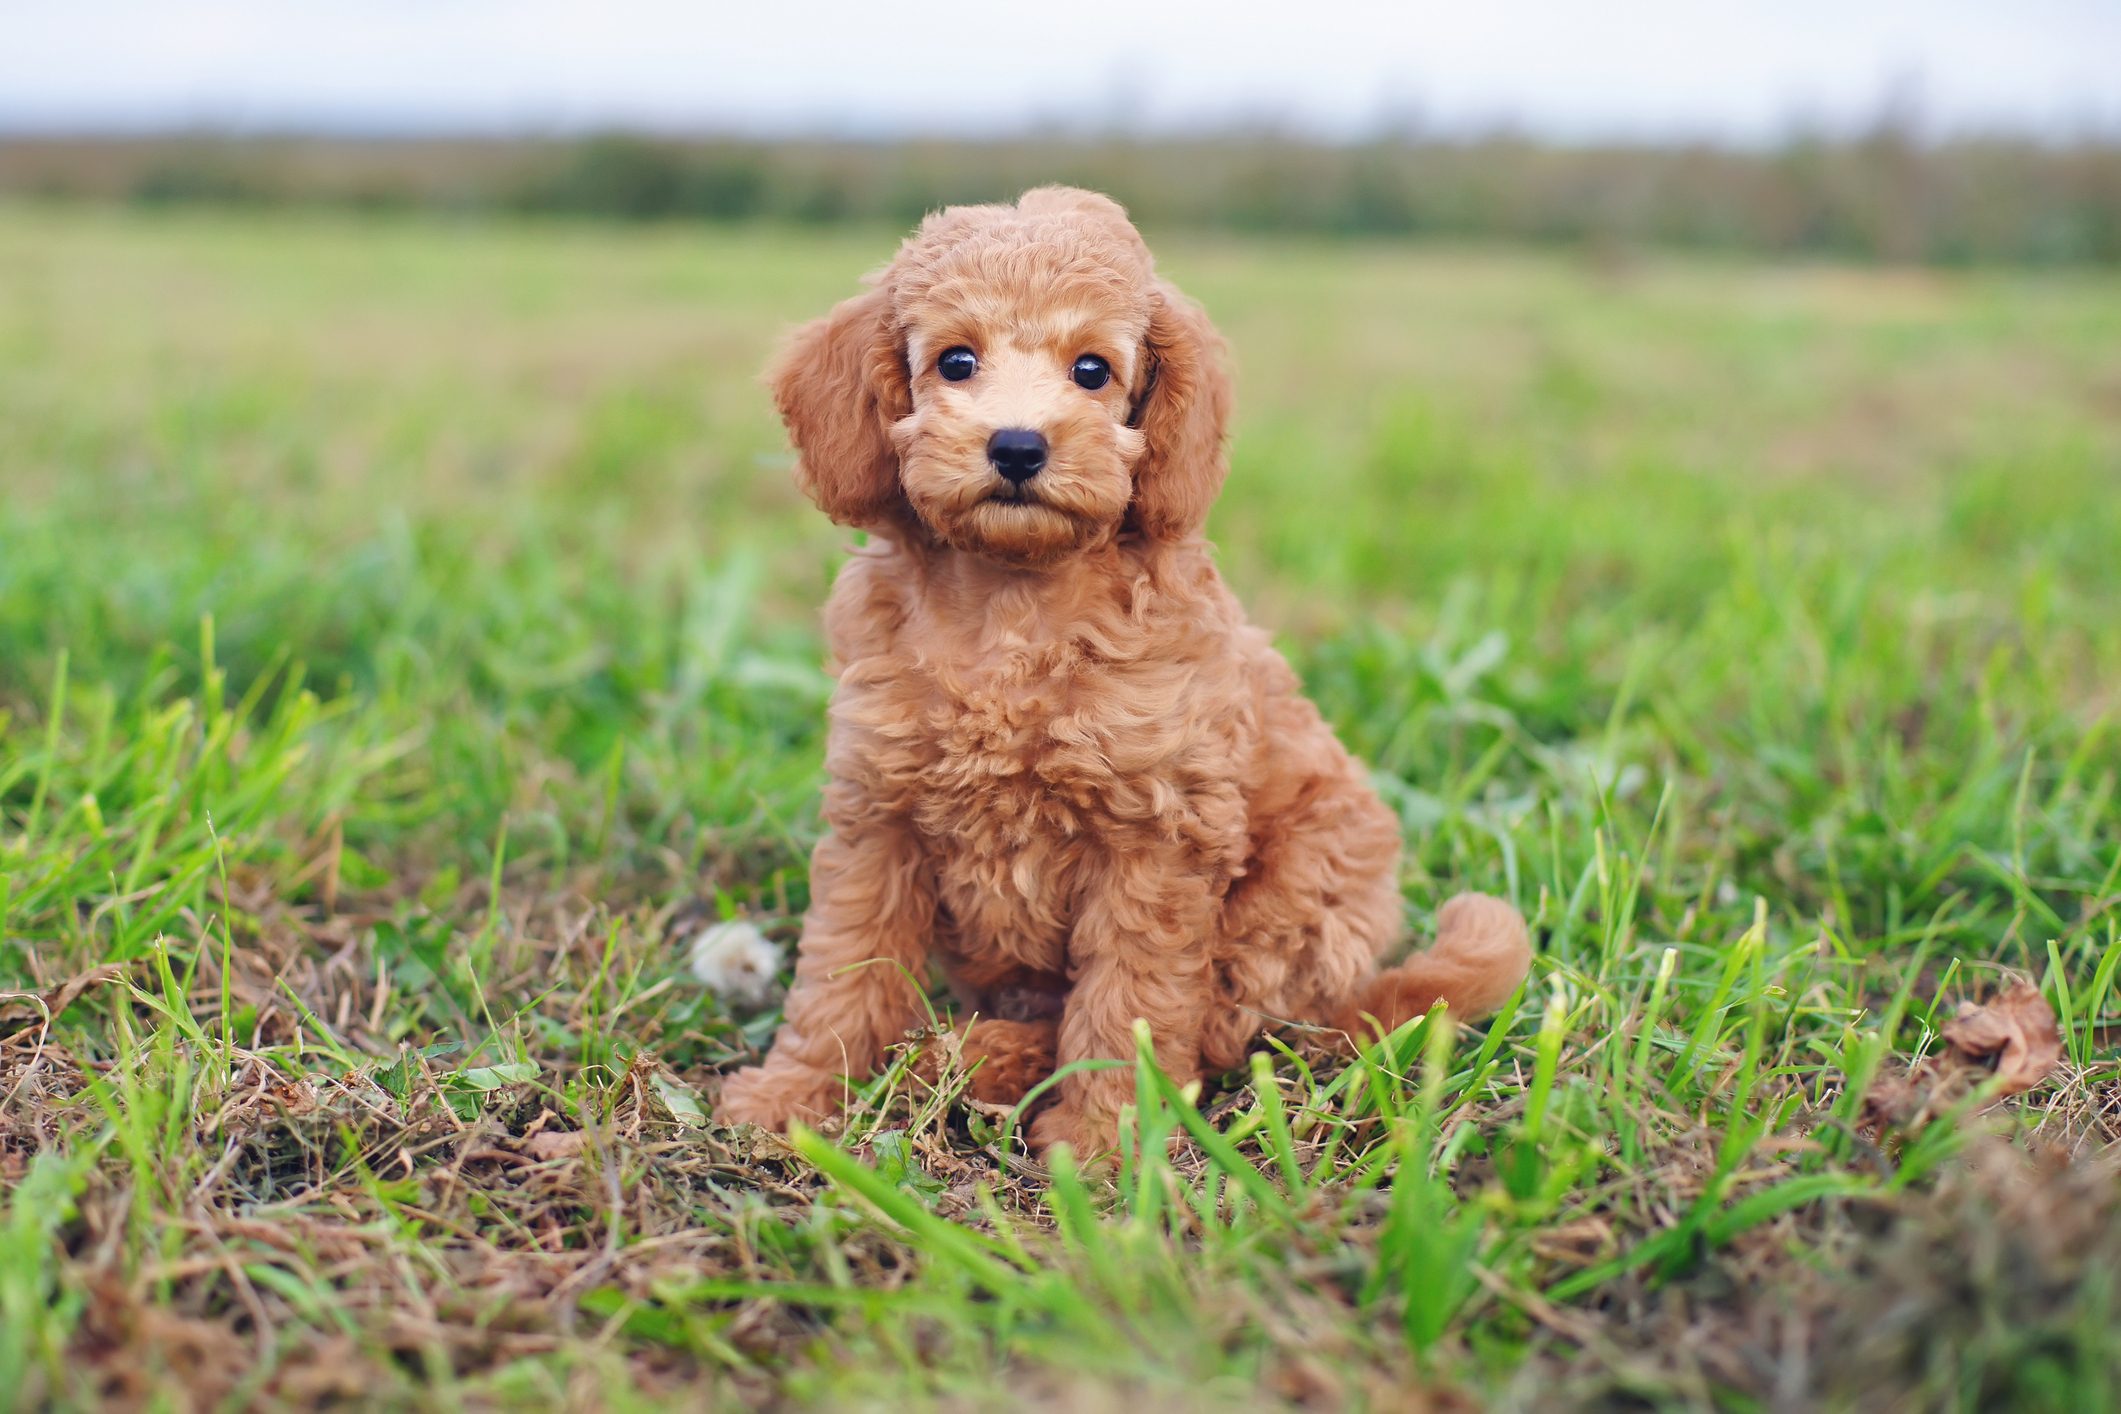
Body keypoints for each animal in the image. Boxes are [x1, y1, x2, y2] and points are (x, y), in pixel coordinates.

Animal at [721, 185, 1535, 1161]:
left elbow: (1131, 1002)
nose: (1018, 447)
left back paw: (977, 1058)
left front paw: (1104, 1143)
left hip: (1295, 901)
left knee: (1222, 1029)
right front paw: (795, 1096)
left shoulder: (1157, 838)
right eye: (955, 361)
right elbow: (842, 970)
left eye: (1092, 371)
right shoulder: (877, 818)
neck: (1012, 604)